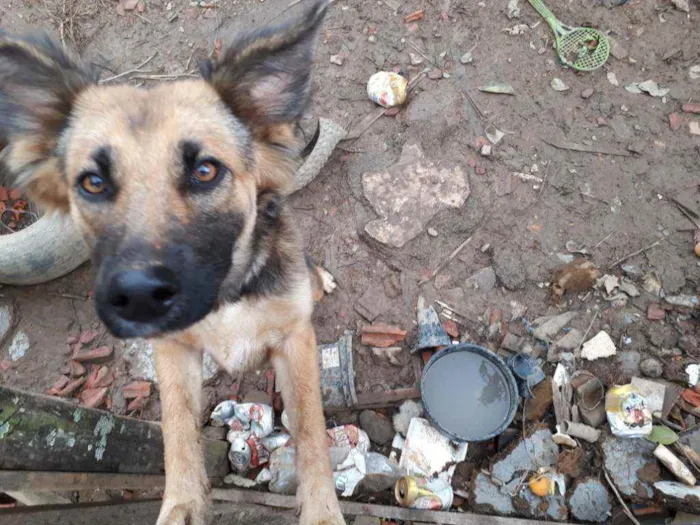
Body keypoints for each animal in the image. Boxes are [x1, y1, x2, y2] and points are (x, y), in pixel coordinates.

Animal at [0, 2, 346, 520]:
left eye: (205, 171)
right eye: (93, 183)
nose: (138, 297)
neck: (227, 297)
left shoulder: (295, 340)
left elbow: (311, 430)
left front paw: (323, 509)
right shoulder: (173, 351)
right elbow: (177, 432)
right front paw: (181, 506)